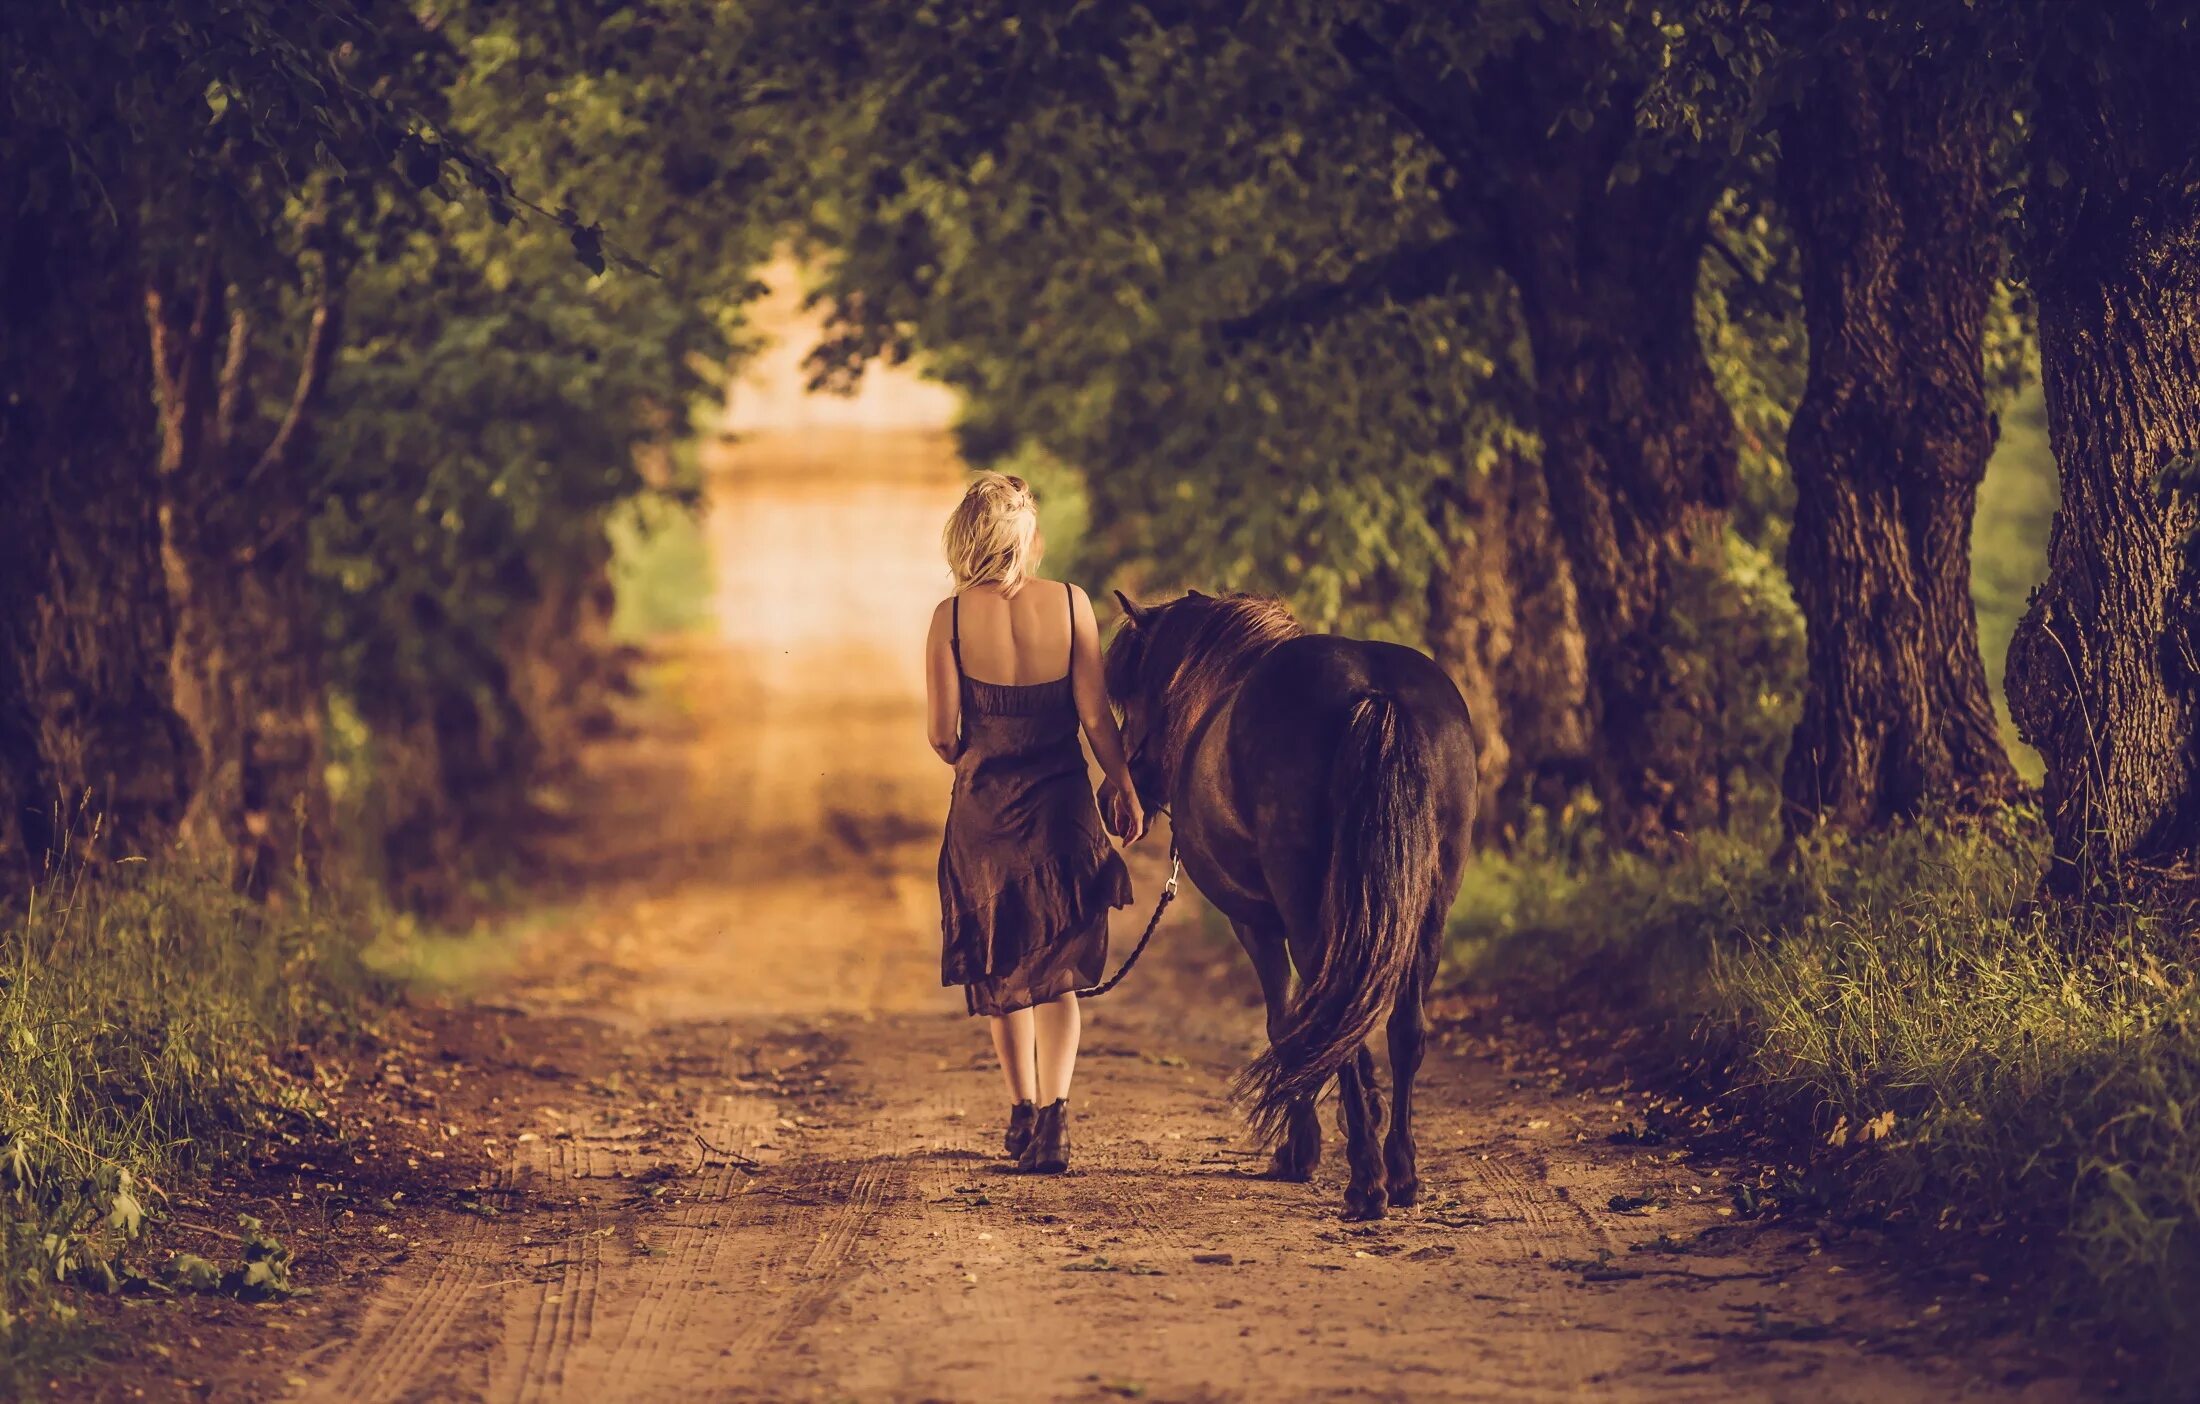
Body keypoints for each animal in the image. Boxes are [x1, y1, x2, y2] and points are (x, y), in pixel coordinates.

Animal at [1100, 594, 1478, 1223]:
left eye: (1132, 695)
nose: (1114, 803)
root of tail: (1377, 694)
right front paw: (1357, 1117)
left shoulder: (1256, 923)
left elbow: (1287, 1025)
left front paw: (1299, 1150)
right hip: (1428, 913)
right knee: (1404, 1028)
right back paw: (1400, 1174)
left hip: (1310, 915)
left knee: (1338, 1028)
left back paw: (1366, 1184)